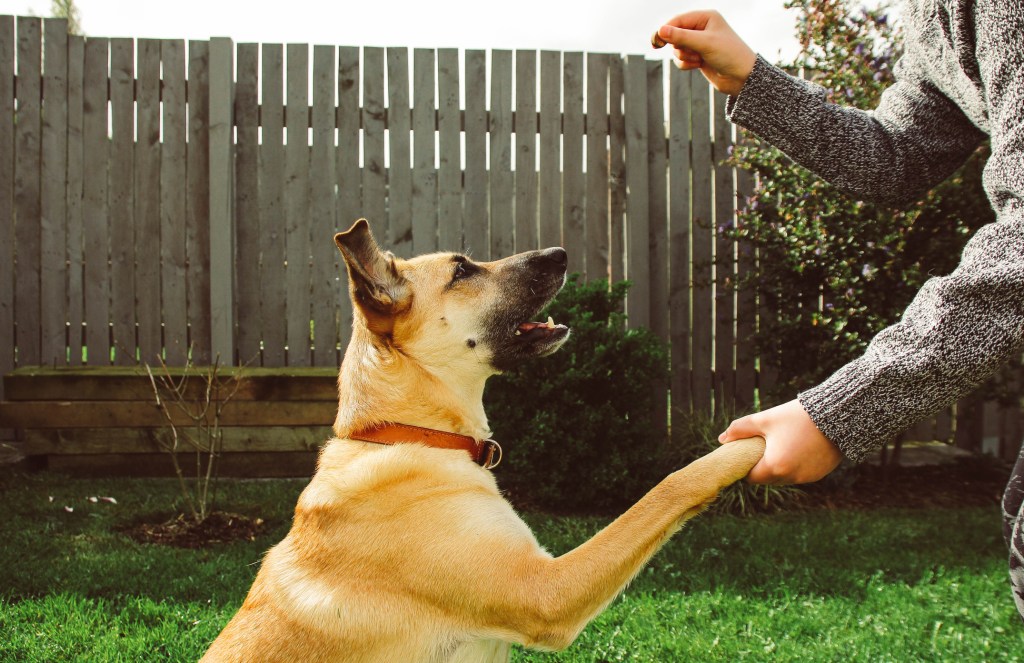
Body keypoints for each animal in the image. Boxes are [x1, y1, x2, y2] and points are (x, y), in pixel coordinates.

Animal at [201, 220, 761, 659]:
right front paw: (752, 443)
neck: (415, 437)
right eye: (463, 271)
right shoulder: (544, 592)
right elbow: (667, 488)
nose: (559, 254)